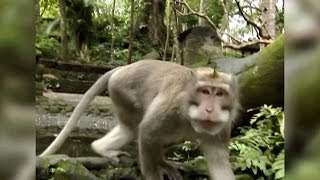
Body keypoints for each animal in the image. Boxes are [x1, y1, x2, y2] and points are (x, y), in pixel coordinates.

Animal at [40, 59, 239, 179]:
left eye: (219, 93)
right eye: (205, 91)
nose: (210, 109)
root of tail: (125, 67)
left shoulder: (222, 127)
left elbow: (219, 163)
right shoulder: (171, 107)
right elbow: (147, 132)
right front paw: (153, 174)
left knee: (132, 130)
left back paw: (101, 147)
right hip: (122, 92)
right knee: (136, 128)